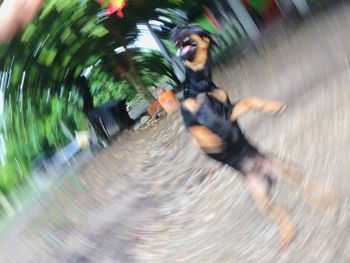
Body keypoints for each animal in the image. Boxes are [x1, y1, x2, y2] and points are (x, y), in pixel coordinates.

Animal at [172, 24, 340, 248]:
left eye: (192, 28)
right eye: (180, 28)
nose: (175, 30)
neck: (201, 85)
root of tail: (266, 174)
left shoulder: (227, 112)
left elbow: (248, 100)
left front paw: (273, 106)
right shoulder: (199, 119)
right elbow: (199, 130)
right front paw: (212, 138)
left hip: (287, 170)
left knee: (306, 187)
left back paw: (328, 202)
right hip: (259, 198)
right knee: (281, 210)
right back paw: (289, 233)